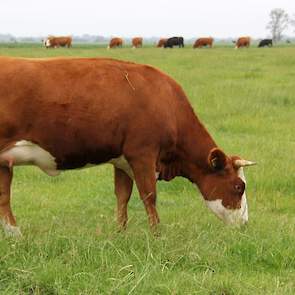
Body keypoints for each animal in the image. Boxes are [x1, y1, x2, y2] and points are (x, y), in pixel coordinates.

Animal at [0, 56, 256, 237]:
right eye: (238, 187)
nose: (245, 224)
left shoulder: (122, 160)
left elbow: (122, 196)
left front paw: (120, 233)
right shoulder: (142, 154)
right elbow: (149, 196)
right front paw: (157, 235)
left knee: (4, 197)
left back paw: (14, 236)